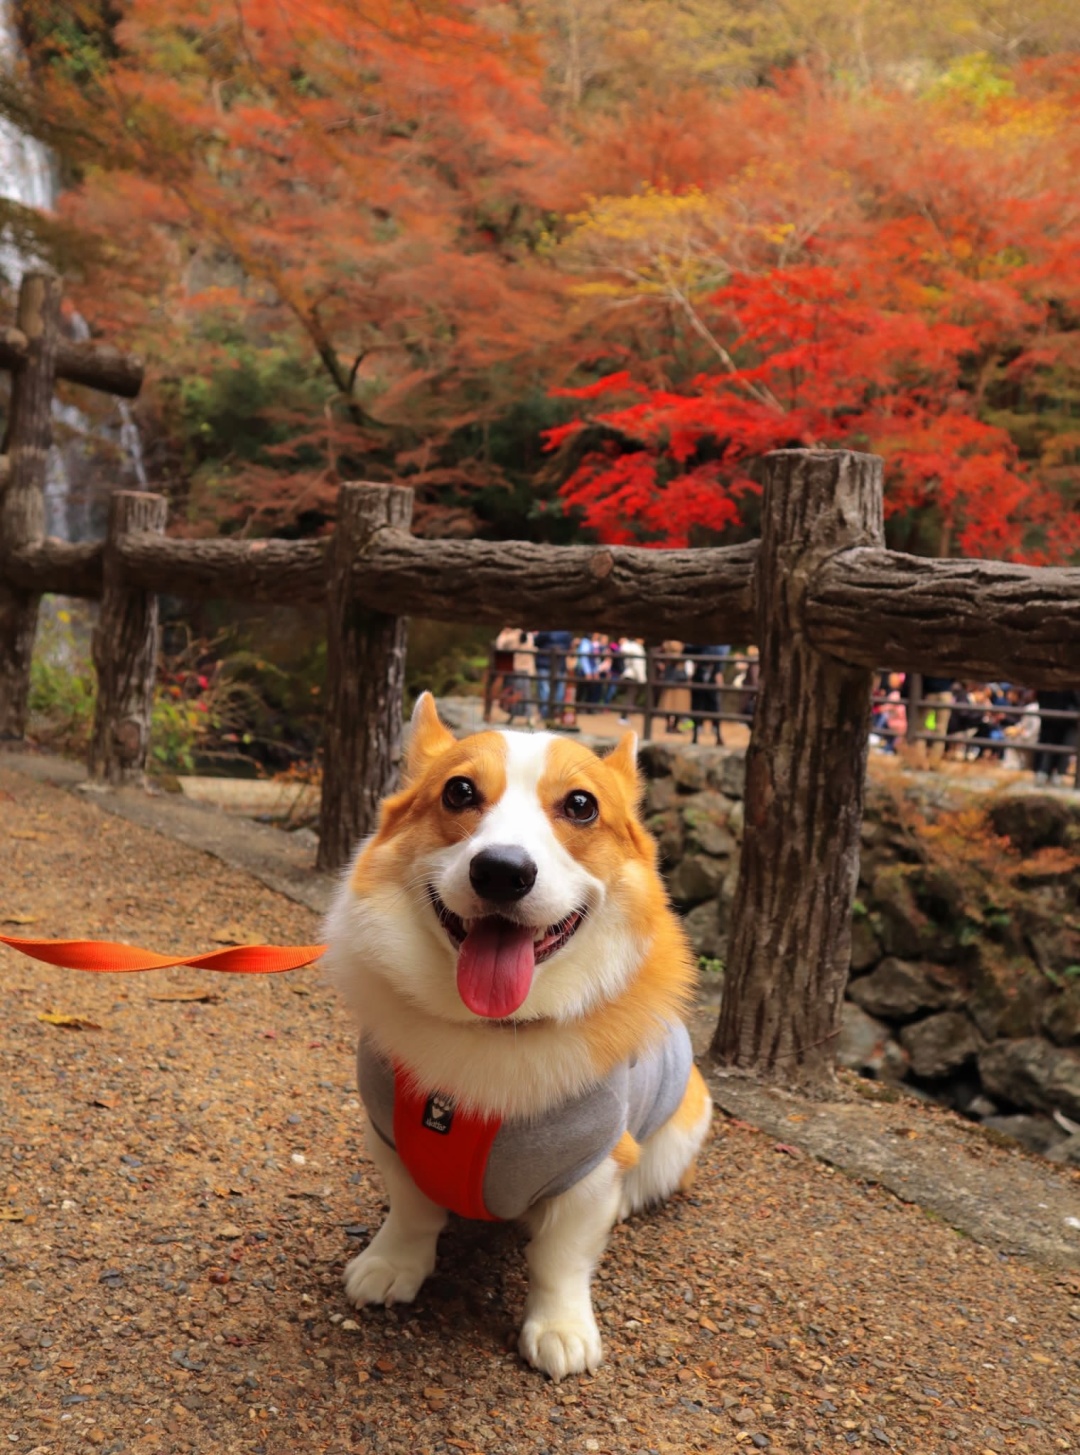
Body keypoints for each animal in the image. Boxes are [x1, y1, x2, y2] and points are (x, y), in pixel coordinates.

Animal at [326, 692, 716, 1373]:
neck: (492, 1030)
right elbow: (411, 1212)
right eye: (458, 791)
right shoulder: (390, 1137)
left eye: (581, 805)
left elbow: (561, 1257)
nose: (502, 872)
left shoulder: (592, 1168)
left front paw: (560, 1330)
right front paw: (390, 1266)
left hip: (686, 1121)